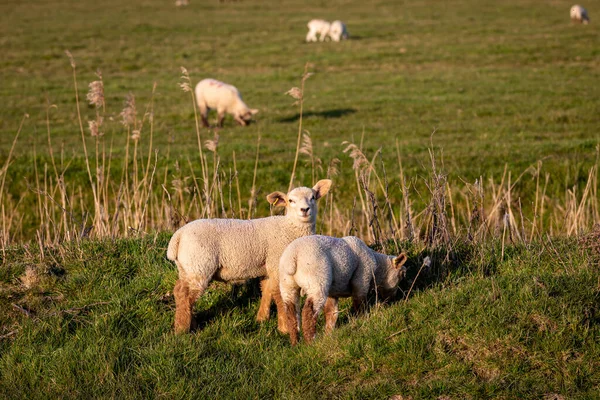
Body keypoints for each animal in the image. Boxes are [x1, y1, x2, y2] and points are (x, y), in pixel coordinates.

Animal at [166, 180, 330, 332]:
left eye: (313, 197)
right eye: (291, 200)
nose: (305, 209)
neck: (289, 228)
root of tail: (178, 236)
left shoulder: (268, 267)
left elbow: (267, 291)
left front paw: (261, 318)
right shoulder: (276, 264)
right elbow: (280, 296)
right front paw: (285, 328)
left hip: (187, 267)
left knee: (180, 291)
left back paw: (190, 324)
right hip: (199, 264)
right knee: (185, 295)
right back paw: (182, 329)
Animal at [278, 236, 406, 346]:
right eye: (402, 275)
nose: (392, 299)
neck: (377, 267)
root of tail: (292, 256)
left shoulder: (333, 292)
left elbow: (331, 312)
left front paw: (328, 334)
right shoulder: (361, 281)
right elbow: (359, 304)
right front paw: (359, 320)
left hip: (287, 285)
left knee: (291, 312)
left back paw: (295, 343)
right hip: (317, 280)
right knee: (309, 311)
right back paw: (310, 342)